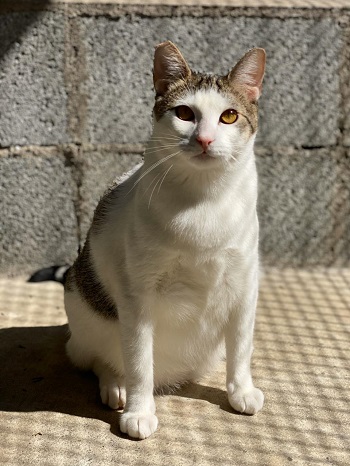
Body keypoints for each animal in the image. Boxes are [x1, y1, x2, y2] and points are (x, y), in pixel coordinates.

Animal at [63, 41, 266, 440]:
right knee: (100, 357)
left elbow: (241, 347)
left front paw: (241, 389)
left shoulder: (245, 283)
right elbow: (139, 360)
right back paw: (116, 384)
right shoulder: (137, 295)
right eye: (185, 113)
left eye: (229, 116)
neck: (203, 203)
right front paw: (139, 410)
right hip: (82, 313)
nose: (204, 139)